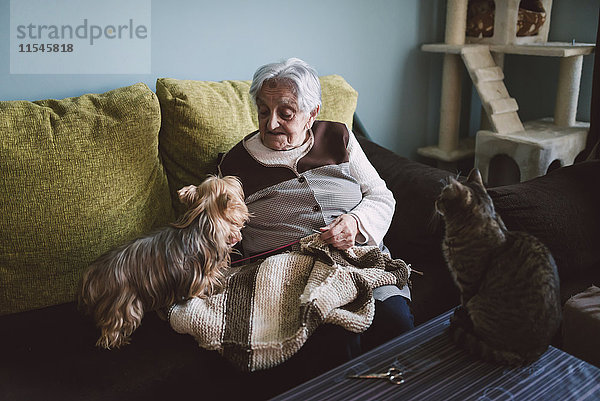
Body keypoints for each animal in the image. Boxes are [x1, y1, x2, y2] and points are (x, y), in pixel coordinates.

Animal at [436, 167, 564, 364]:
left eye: (443, 197)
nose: (435, 200)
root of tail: (535, 352)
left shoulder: (467, 284)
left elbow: (464, 302)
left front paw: (461, 316)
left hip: (479, 304)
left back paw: (462, 324)